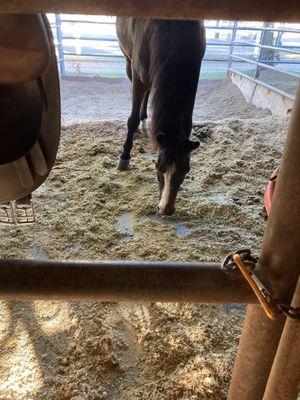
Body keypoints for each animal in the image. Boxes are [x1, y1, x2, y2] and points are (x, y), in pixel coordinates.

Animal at [116, 18, 205, 214]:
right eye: (158, 167)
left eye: (186, 170)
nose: (166, 208)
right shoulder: (138, 77)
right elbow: (132, 119)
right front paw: (125, 157)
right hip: (129, 62)